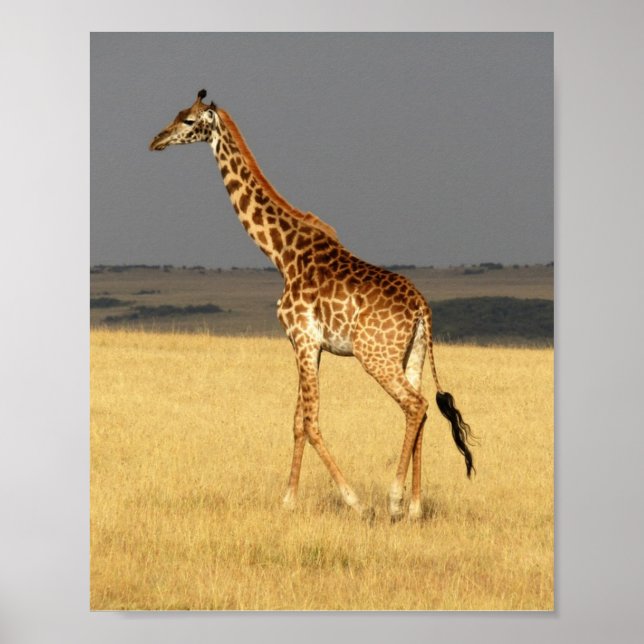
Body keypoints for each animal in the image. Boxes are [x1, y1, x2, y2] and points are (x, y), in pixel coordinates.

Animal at [149, 89, 475, 521]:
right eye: (176, 114)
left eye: (188, 120)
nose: (156, 141)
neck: (282, 253)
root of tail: (422, 308)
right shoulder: (306, 344)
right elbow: (297, 421)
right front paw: (287, 500)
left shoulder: (302, 338)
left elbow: (311, 419)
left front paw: (354, 501)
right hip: (413, 355)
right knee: (420, 412)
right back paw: (415, 508)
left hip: (376, 355)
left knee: (415, 405)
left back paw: (392, 501)